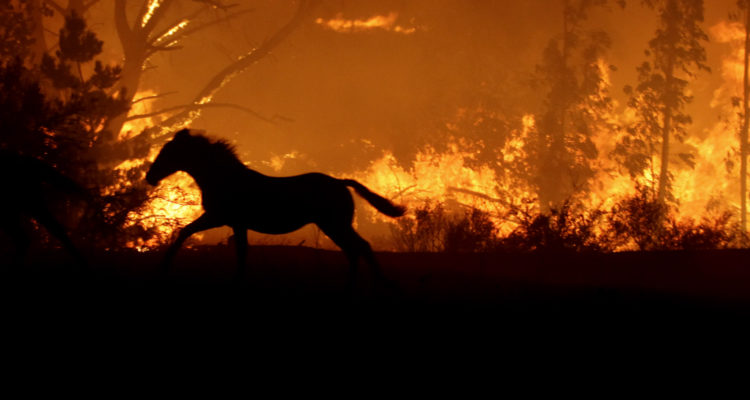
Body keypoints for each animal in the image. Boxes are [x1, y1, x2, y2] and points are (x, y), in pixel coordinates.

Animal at [147, 130, 406, 290]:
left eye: (169, 152)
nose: (150, 177)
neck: (224, 178)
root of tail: (340, 182)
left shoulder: (219, 218)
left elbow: (187, 232)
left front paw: (162, 269)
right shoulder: (234, 223)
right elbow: (238, 250)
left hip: (334, 224)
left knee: (359, 247)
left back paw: (371, 285)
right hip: (334, 225)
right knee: (356, 249)